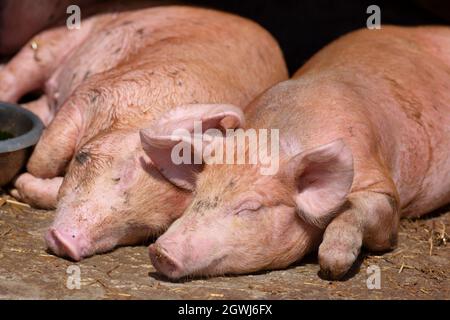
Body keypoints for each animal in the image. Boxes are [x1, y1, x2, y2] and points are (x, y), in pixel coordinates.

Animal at [0, 5, 288, 260]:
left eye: (147, 229)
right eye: (122, 174)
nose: (67, 243)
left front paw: (20, 186)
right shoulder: (92, 92)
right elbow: (46, 156)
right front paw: (18, 183)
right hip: (59, 40)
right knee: (18, 72)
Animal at [142, 25, 450, 280]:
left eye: (251, 208)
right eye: (197, 195)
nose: (160, 252)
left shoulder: (384, 190)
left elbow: (360, 211)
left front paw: (332, 267)